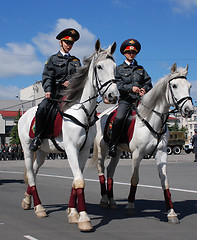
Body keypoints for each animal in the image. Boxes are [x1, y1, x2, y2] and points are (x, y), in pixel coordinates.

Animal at [17, 39, 118, 231]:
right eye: (99, 66)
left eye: (115, 67)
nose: (113, 96)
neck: (82, 110)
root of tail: (24, 115)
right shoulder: (71, 149)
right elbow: (79, 181)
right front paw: (84, 219)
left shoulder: (84, 151)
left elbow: (76, 180)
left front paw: (73, 212)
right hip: (27, 149)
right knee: (31, 175)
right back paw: (39, 208)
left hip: (42, 152)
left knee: (34, 170)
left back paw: (27, 200)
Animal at [91, 62, 193, 224]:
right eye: (175, 85)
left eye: (190, 86)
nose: (189, 110)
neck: (151, 119)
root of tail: (102, 115)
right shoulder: (137, 154)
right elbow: (134, 178)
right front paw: (130, 205)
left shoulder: (161, 153)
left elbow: (165, 181)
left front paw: (171, 213)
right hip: (103, 149)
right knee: (101, 169)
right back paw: (104, 199)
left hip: (117, 151)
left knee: (110, 171)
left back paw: (112, 201)